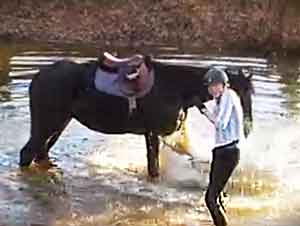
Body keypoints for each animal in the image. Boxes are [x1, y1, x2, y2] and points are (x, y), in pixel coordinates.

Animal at [18, 53, 253, 178]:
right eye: (244, 91)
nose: (248, 128)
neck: (175, 86)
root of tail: (39, 77)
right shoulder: (154, 133)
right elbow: (154, 167)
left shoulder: (163, 135)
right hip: (46, 124)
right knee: (27, 153)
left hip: (58, 125)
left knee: (40, 154)